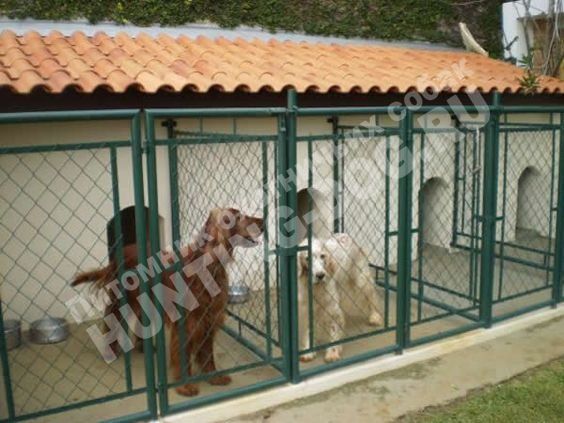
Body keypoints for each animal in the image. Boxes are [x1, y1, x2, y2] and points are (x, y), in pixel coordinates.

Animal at [72, 207, 264, 396]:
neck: (205, 264)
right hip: (121, 300)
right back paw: (110, 351)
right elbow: (182, 354)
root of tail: (122, 253)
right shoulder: (186, 322)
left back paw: (143, 347)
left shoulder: (208, 317)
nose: (263, 221)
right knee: (111, 321)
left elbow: (207, 352)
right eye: (239, 216)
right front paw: (185, 386)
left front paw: (213, 376)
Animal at [298, 234, 383, 362]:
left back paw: (375, 316)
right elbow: (308, 330)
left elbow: (334, 329)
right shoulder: (306, 307)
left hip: (361, 280)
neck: (316, 288)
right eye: (307, 258)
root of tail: (345, 235)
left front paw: (332, 352)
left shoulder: (333, 310)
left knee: (372, 296)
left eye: (323, 256)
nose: (320, 275)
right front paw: (308, 351)